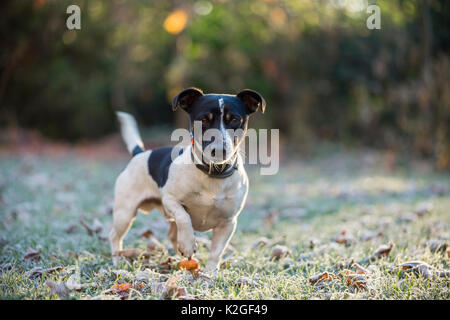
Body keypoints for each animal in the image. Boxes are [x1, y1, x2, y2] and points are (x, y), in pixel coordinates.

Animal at [110, 88, 264, 272]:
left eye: (234, 119)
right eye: (204, 119)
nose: (219, 150)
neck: (213, 173)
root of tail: (140, 153)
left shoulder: (228, 223)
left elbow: (216, 252)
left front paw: (210, 273)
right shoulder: (170, 200)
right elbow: (184, 217)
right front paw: (188, 244)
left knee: (171, 234)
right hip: (125, 213)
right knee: (114, 236)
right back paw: (117, 260)